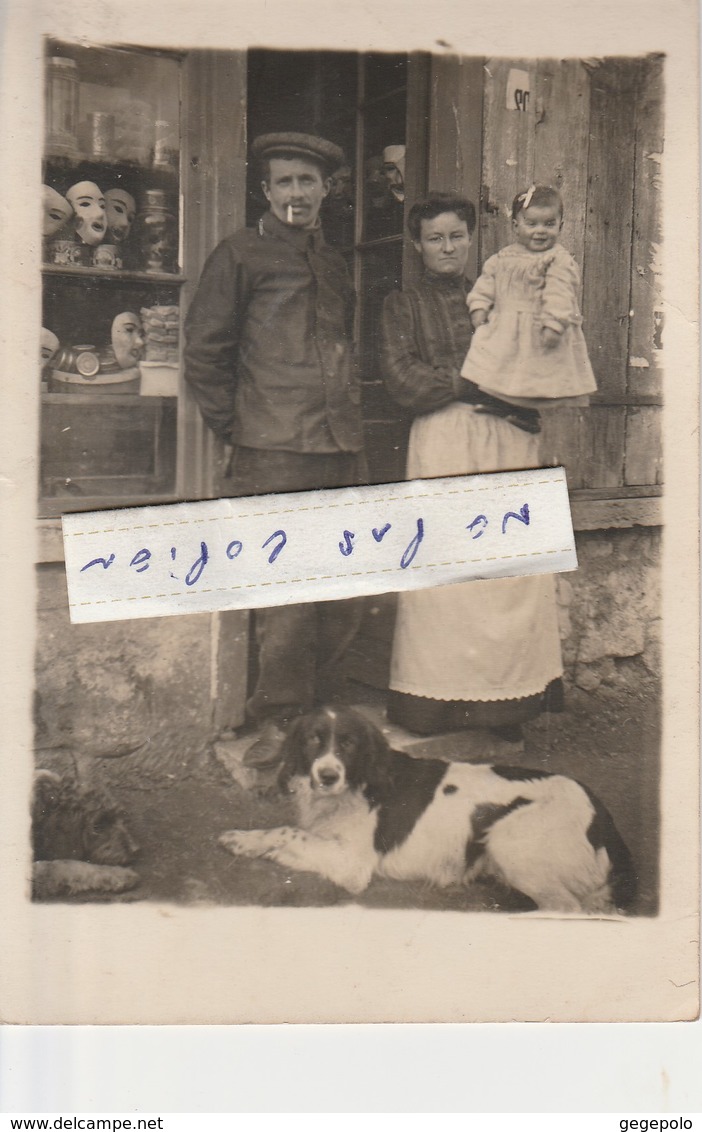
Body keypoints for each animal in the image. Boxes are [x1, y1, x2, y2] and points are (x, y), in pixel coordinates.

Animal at [220, 701, 634, 914]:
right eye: (312, 740)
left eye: (349, 744)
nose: (327, 775)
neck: (355, 784)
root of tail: (605, 820)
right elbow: (279, 829)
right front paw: (243, 839)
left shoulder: (353, 865)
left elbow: (291, 833)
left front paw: (269, 849)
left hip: (508, 836)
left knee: (568, 909)